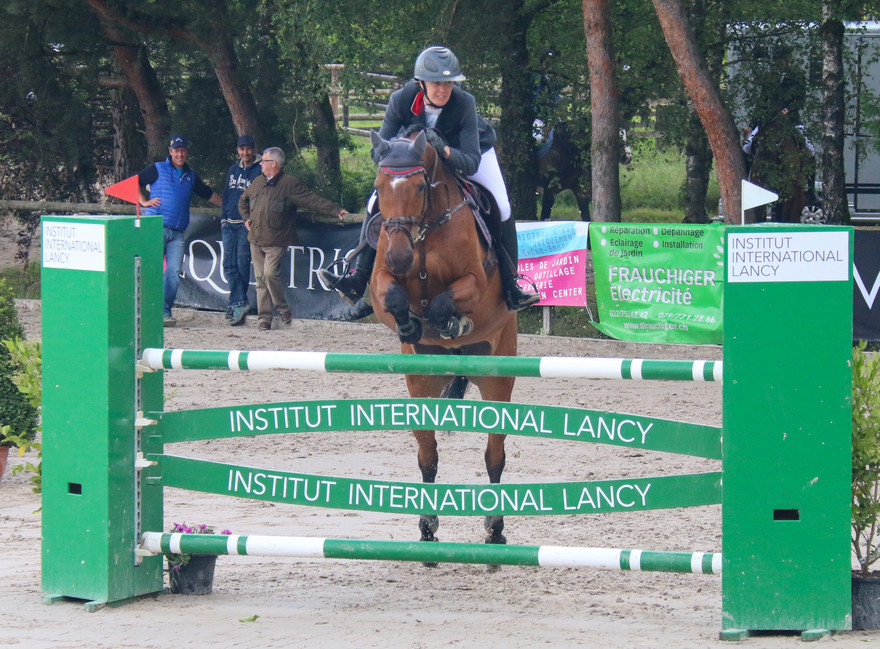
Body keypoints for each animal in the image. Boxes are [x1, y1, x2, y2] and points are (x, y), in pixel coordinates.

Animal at [368, 128, 517, 547]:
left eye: (420, 186)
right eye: (378, 187)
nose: (400, 257)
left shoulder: (475, 281)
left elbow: (442, 303)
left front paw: (452, 323)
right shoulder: (380, 280)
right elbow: (393, 297)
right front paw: (409, 326)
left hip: (497, 378)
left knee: (494, 455)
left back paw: (495, 528)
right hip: (421, 384)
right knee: (428, 456)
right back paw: (427, 527)